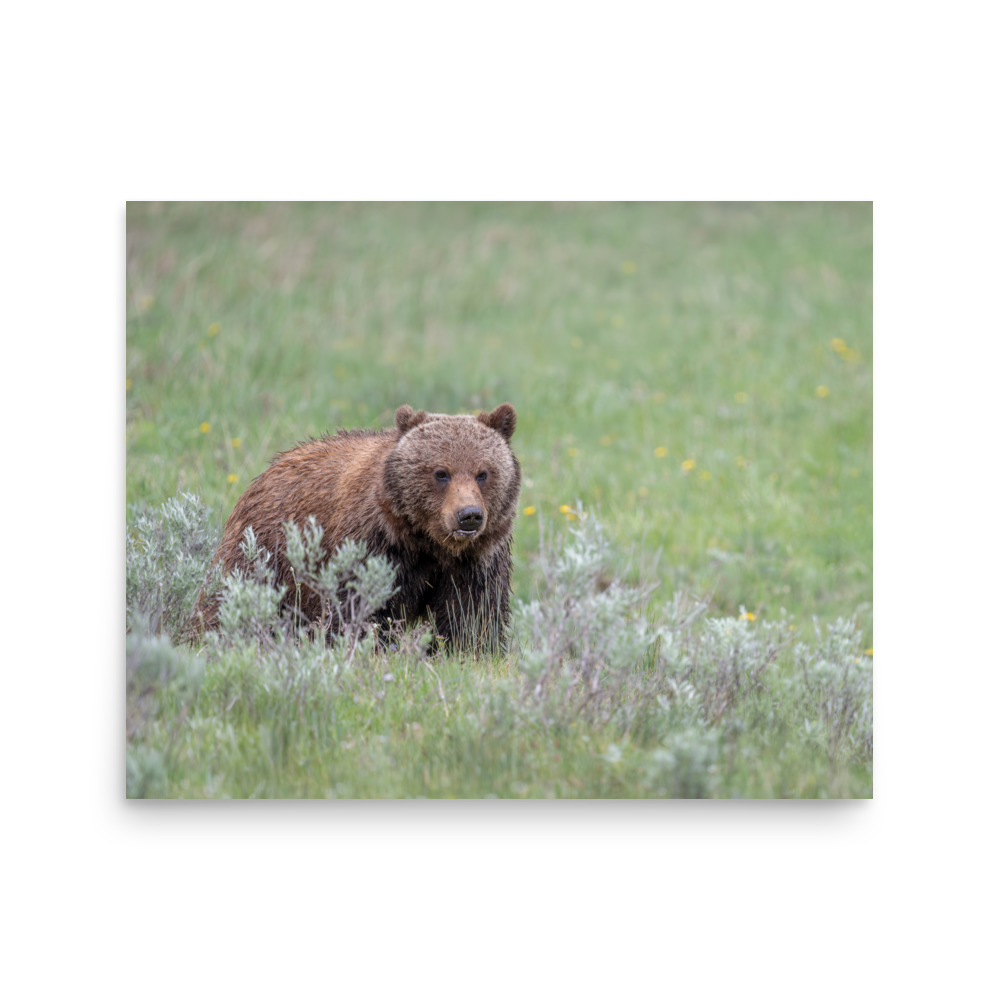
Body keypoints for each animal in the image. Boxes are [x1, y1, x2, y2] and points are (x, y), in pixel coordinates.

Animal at [194, 403, 521, 653]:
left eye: (483, 473)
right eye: (441, 473)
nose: (469, 515)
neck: (426, 541)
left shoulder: (475, 560)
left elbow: (472, 615)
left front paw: (469, 651)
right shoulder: (372, 545)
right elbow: (358, 607)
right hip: (265, 550)